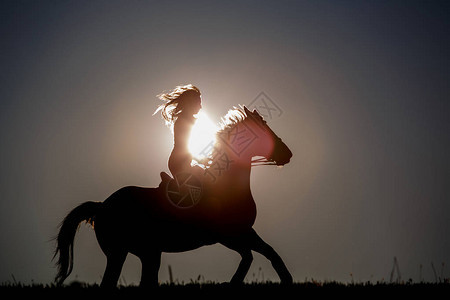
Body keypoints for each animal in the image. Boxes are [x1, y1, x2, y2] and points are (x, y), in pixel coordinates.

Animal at [53, 105, 292, 288]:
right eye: (263, 128)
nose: (287, 154)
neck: (227, 184)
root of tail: (102, 206)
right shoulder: (227, 235)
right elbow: (249, 256)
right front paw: (233, 283)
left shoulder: (245, 231)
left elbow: (269, 252)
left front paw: (286, 279)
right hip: (121, 253)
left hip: (147, 253)